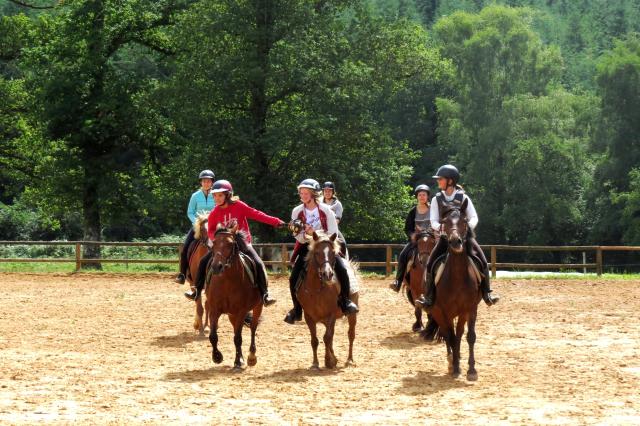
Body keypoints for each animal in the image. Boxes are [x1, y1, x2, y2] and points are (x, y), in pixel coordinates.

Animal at [206, 223, 264, 370]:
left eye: (230, 244)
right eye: (214, 243)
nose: (217, 266)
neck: (227, 281)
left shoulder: (241, 311)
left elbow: (238, 338)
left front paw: (238, 361)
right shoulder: (214, 310)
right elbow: (213, 336)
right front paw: (217, 357)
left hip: (257, 307)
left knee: (253, 328)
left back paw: (251, 357)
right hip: (232, 315)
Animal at [296, 231, 358, 368]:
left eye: (333, 252)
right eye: (317, 252)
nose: (327, 274)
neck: (316, 290)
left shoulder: (331, 314)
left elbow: (326, 338)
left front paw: (330, 360)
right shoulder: (309, 316)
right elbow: (315, 340)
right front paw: (316, 363)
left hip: (352, 315)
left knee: (350, 334)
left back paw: (350, 359)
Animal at [420, 210, 480, 380]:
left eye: (464, 221)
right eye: (445, 222)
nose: (455, 242)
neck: (458, 277)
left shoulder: (470, 309)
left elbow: (469, 336)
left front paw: (471, 370)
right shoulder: (444, 311)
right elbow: (451, 337)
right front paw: (455, 367)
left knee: (457, 334)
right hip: (438, 312)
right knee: (447, 334)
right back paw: (451, 361)